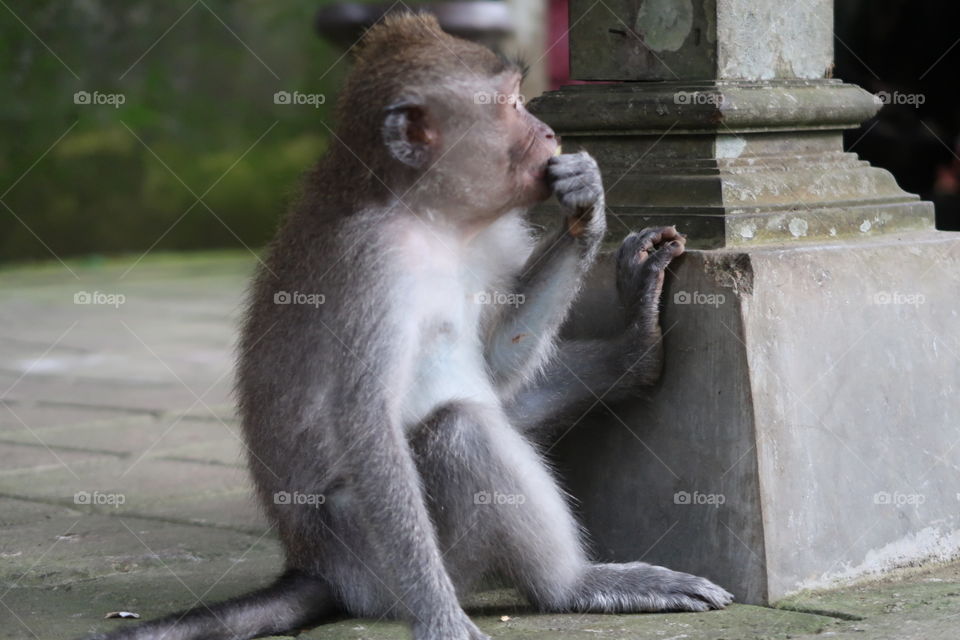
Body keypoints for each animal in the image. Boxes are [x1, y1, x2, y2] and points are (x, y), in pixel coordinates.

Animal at [82, 12, 732, 640]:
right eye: (511, 104)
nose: (549, 133)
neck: (432, 217)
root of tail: (315, 568)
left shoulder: (493, 233)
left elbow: (497, 360)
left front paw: (586, 206)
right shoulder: (372, 264)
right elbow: (367, 422)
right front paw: (441, 619)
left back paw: (633, 355)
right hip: (371, 561)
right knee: (462, 430)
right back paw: (570, 586)